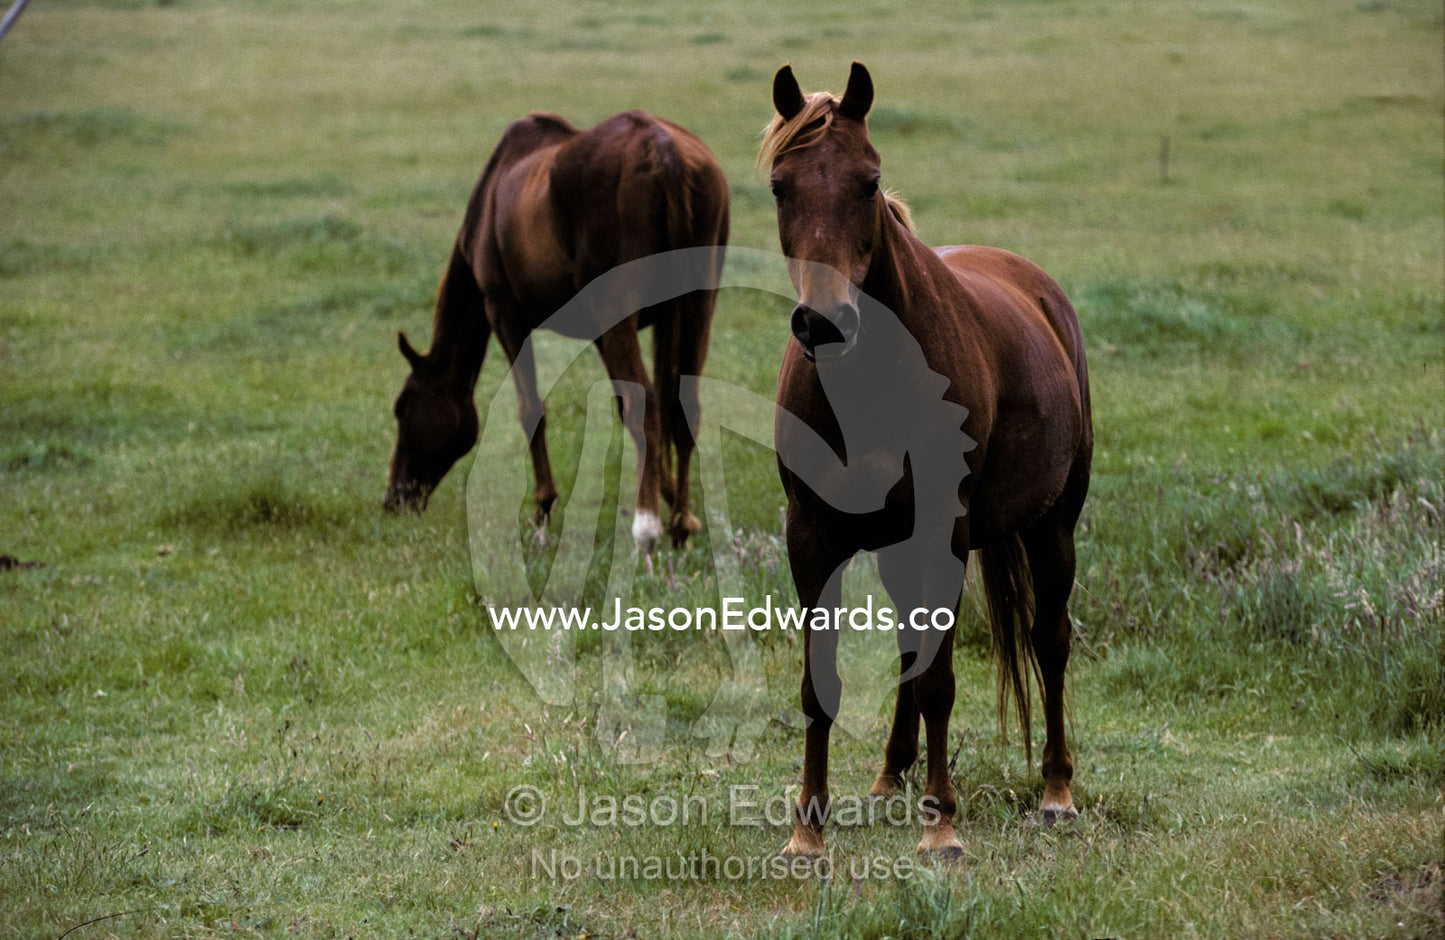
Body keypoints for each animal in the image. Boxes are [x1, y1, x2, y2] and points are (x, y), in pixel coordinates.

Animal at [384, 110, 729, 553]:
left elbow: (532, 409)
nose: (394, 499)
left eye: (403, 407)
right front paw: (677, 504)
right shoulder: (629, 327)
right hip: (697, 305)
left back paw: (647, 526)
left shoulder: (505, 313)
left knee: (645, 401)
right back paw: (680, 527)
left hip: (618, 313)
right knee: (681, 404)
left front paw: (543, 512)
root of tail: (664, 152)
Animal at [763, 63, 1093, 858]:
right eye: (780, 186)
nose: (824, 323)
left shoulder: (943, 529)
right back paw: (889, 778)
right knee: (915, 643)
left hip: (1052, 527)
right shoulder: (811, 538)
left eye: (869, 181)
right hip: (896, 548)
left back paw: (1056, 791)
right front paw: (807, 832)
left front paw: (940, 828)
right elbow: (820, 687)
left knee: (1049, 643)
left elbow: (942, 681)